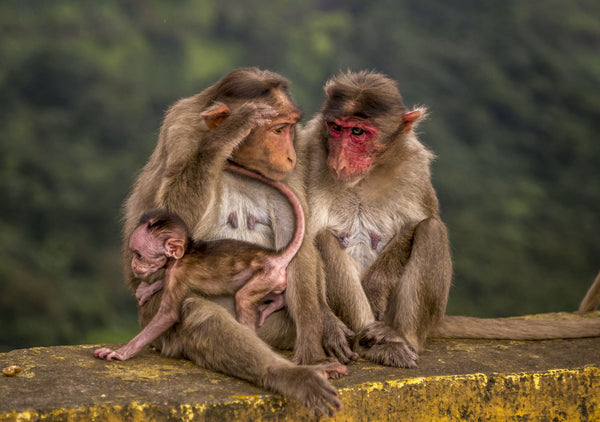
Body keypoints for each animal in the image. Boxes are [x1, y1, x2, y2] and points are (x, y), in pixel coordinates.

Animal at [97, 163, 304, 362]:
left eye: (138, 255)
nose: (133, 265)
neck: (183, 254)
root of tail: (273, 255)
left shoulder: (177, 274)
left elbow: (168, 316)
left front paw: (122, 352)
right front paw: (148, 289)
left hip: (266, 274)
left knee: (243, 297)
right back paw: (276, 303)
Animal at [119, 68, 346, 416]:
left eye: (289, 128)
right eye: (277, 129)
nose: (290, 154)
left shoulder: (289, 172)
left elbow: (300, 244)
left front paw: (314, 352)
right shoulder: (180, 132)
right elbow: (164, 223)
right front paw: (227, 133)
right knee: (196, 312)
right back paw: (287, 375)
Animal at [302, 70, 600, 370]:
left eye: (358, 132)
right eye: (335, 128)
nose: (338, 159)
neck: (365, 177)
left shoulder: (413, 162)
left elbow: (421, 219)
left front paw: (376, 286)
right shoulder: (310, 152)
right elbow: (304, 240)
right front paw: (328, 326)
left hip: (398, 316)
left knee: (432, 231)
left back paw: (399, 338)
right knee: (324, 240)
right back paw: (371, 344)